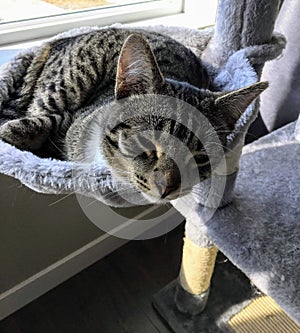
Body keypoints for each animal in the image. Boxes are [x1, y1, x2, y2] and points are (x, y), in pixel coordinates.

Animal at [0, 27, 268, 201]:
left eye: (200, 157)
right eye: (145, 141)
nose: (166, 188)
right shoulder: (73, 119)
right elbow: (45, 121)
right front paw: (12, 134)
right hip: (68, 82)